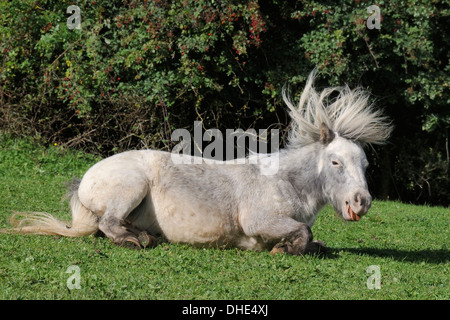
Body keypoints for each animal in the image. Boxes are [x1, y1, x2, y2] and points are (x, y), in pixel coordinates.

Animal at [6, 72, 390, 255]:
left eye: (365, 165)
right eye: (336, 162)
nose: (362, 202)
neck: (287, 183)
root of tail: (85, 182)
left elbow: (315, 242)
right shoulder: (260, 220)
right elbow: (304, 233)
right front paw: (284, 249)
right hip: (131, 186)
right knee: (108, 224)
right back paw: (137, 240)